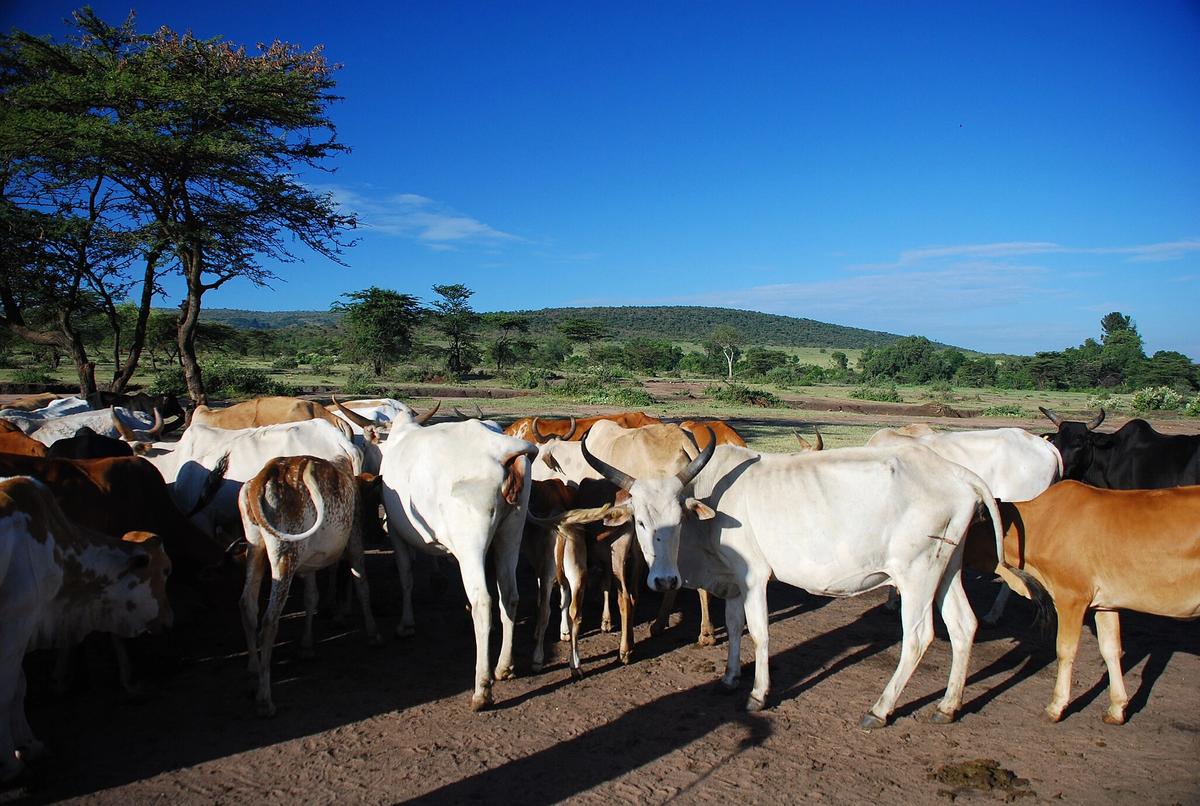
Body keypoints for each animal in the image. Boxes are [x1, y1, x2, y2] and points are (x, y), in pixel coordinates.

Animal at [0, 475, 172, 782]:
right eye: (165, 570)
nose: (169, 618)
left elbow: (19, 686)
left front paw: (29, 745)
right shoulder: (16, 619)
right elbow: (7, 691)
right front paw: (10, 764)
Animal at [238, 455, 384, 717]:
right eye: (374, 498)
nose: (379, 534)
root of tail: (265, 476)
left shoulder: (310, 563)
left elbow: (311, 597)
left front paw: (307, 646)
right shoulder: (355, 540)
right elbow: (361, 585)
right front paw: (373, 632)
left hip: (255, 546)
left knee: (247, 605)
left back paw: (253, 666)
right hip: (285, 552)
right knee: (269, 621)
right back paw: (265, 699)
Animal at [379, 418, 538, 710]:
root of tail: (502, 448)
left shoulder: (395, 531)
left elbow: (406, 576)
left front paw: (406, 624)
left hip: (470, 538)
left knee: (483, 601)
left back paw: (482, 689)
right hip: (512, 529)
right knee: (509, 595)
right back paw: (504, 666)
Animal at [581, 434, 1007, 728]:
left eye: (678, 516)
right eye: (640, 521)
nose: (666, 580)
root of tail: (954, 472)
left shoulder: (754, 576)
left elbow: (759, 633)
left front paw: (758, 693)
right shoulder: (732, 580)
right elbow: (733, 627)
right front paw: (730, 678)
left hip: (916, 575)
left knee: (919, 638)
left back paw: (880, 709)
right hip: (946, 568)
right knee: (963, 625)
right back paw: (948, 706)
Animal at [963, 481, 1200, 725]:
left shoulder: (1071, 597)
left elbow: (1064, 650)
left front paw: (1056, 706)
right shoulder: (1106, 604)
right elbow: (1110, 650)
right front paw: (1116, 708)